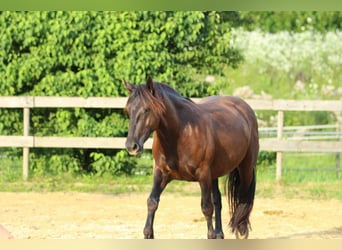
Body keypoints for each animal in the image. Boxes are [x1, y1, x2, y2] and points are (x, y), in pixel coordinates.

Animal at [123, 76, 260, 240]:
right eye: (127, 111)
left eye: (147, 109)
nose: (132, 146)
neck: (180, 134)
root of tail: (245, 108)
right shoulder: (161, 173)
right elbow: (152, 202)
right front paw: (148, 233)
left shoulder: (203, 174)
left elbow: (206, 208)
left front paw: (211, 234)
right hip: (214, 174)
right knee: (217, 200)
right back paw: (220, 233)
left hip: (245, 168)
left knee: (243, 196)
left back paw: (241, 228)